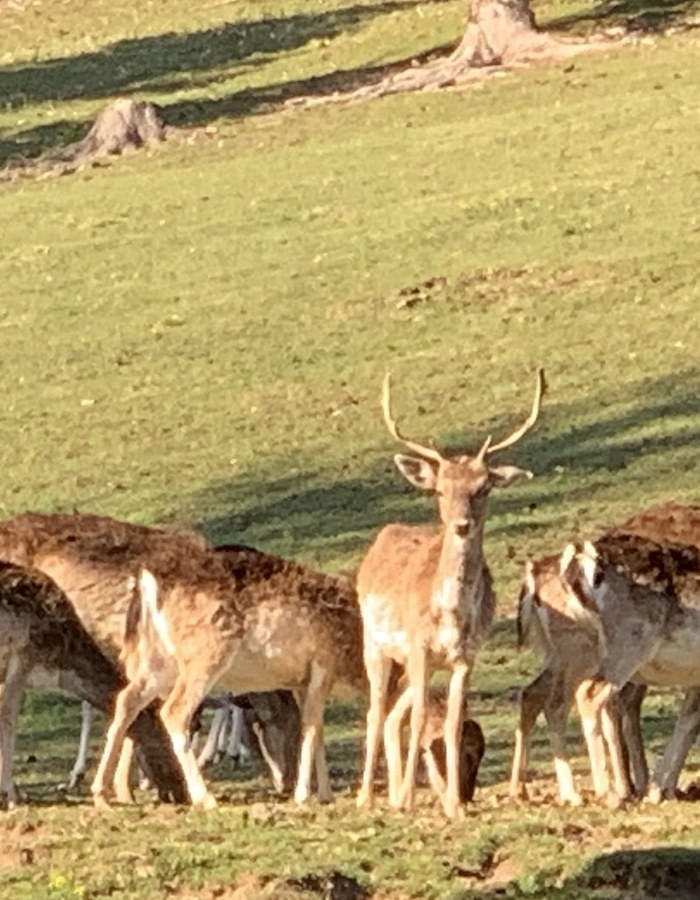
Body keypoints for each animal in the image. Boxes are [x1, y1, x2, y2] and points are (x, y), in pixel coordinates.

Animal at [356, 368, 544, 818]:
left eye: (483, 488)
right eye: (441, 489)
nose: (461, 525)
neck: (451, 616)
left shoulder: (464, 657)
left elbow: (454, 720)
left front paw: (454, 806)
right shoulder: (420, 647)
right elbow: (422, 718)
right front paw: (410, 800)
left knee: (393, 715)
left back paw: (393, 795)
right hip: (377, 644)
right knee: (376, 711)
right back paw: (367, 796)